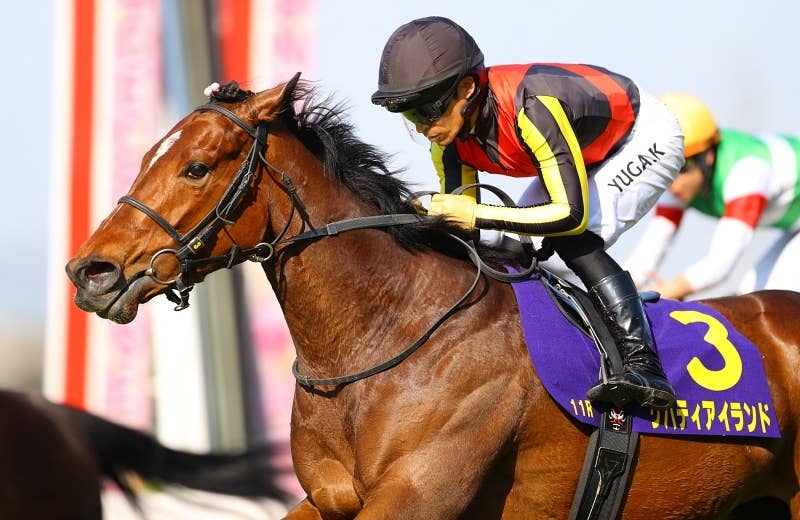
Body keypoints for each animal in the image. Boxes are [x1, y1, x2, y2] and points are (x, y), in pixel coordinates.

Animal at [64, 76, 800, 519]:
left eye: (196, 167)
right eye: (143, 157)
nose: (90, 271)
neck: (384, 338)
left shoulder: (417, 498)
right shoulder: (330, 500)